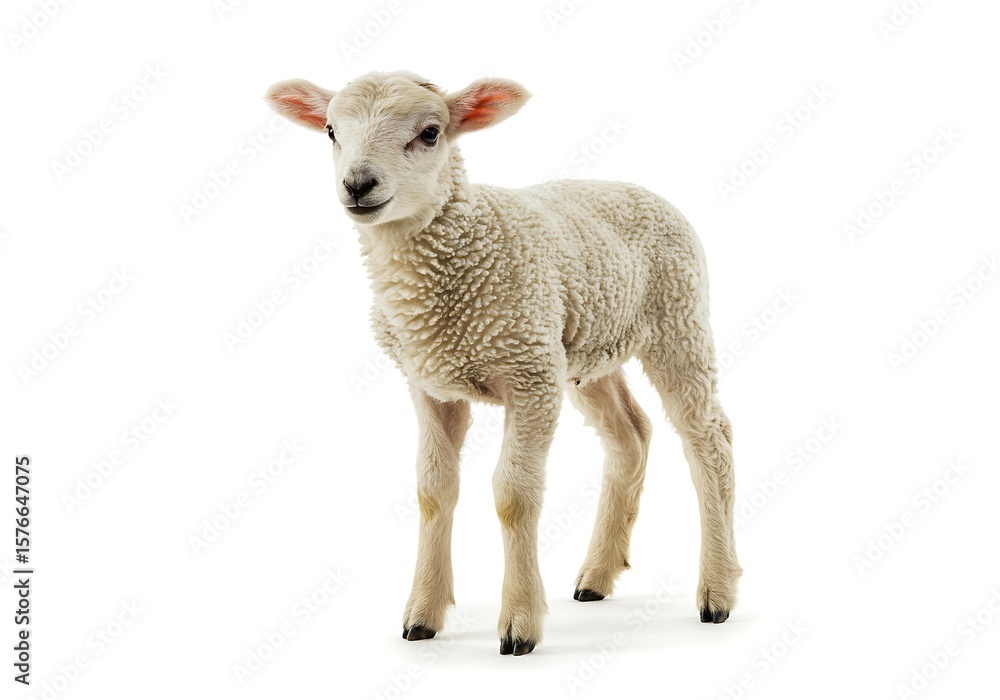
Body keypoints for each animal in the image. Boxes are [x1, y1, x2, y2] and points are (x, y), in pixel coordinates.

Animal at [264, 71, 742, 656]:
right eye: (331, 131)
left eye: (430, 133)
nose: (358, 184)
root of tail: (642, 190)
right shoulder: (432, 385)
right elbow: (433, 490)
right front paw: (423, 614)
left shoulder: (530, 376)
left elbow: (513, 495)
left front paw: (519, 622)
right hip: (586, 348)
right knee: (630, 435)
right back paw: (597, 576)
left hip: (677, 320)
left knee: (710, 440)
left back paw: (717, 591)